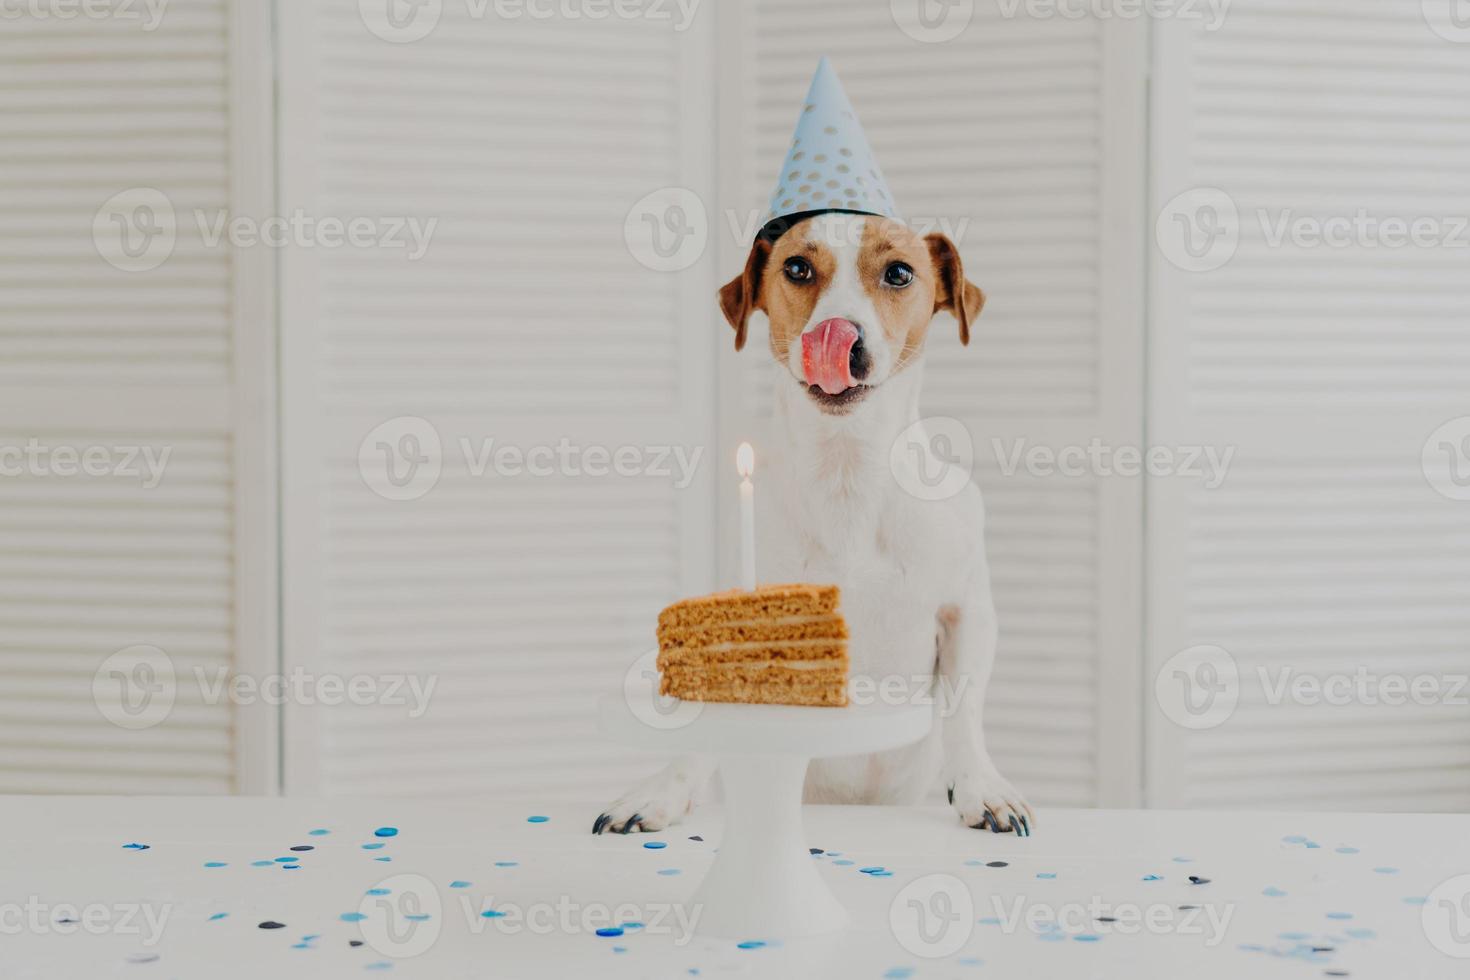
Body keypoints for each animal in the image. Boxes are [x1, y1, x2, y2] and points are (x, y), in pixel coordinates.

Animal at [588, 213, 1034, 834]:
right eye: (797, 267)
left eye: (900, 272)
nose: (838, 336)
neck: (846, 471)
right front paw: (664, 790)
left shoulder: (966, 612)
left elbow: (965, 711)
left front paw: (981, 788)